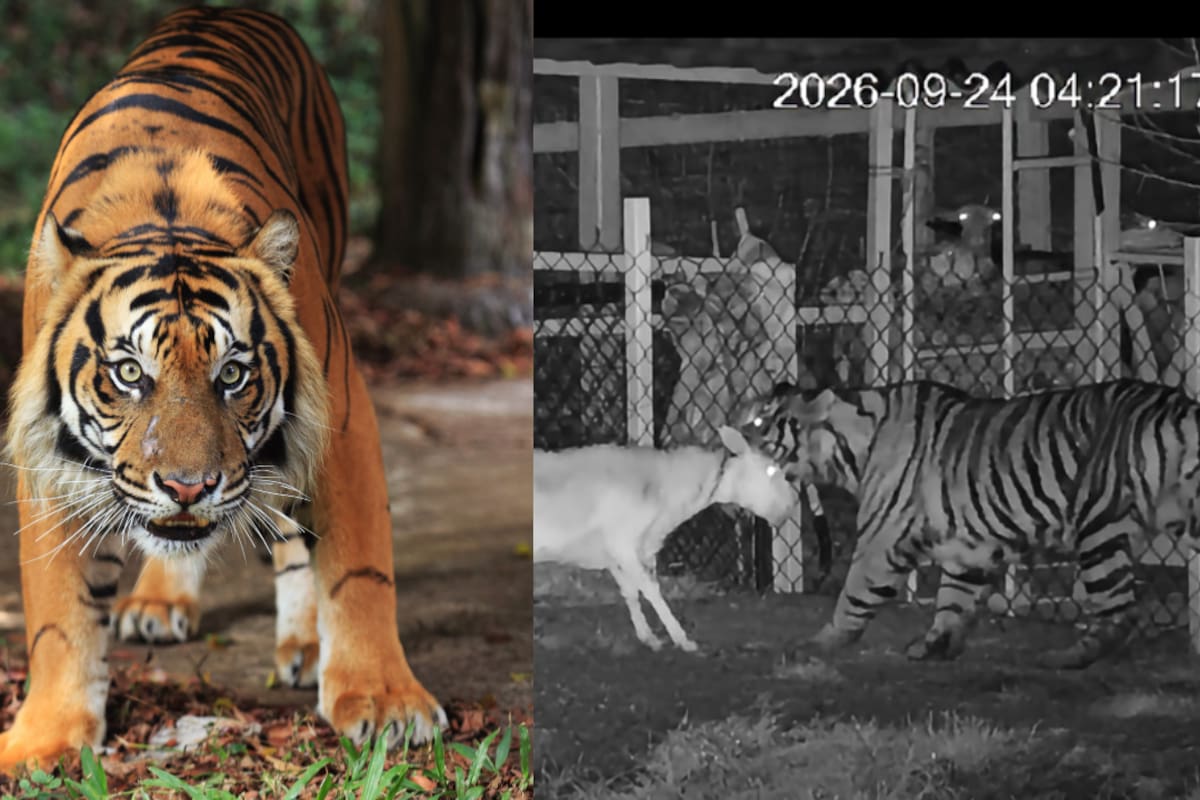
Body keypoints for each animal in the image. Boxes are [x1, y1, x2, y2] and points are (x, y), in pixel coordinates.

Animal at [1, 7, 445, 770]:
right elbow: (58, 613)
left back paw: (305, 644)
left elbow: (358, 569)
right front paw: (46, 738)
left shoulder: (341, 418)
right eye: (129, 374)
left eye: (232, 374)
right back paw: (158, 601)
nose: (189, 486)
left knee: (295, 531)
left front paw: (385, 701)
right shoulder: (50, 458)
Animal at [735, 378, 1200, 669]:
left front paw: (817, 644)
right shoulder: (969, 545)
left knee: (1119, 612)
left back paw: (1067, 658)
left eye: (757, 421)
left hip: (1099, 523)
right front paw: (934, 645)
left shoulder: (880, 538)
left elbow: (852, 595)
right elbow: (953, 599)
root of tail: (1180, 406)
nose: (727, 435)